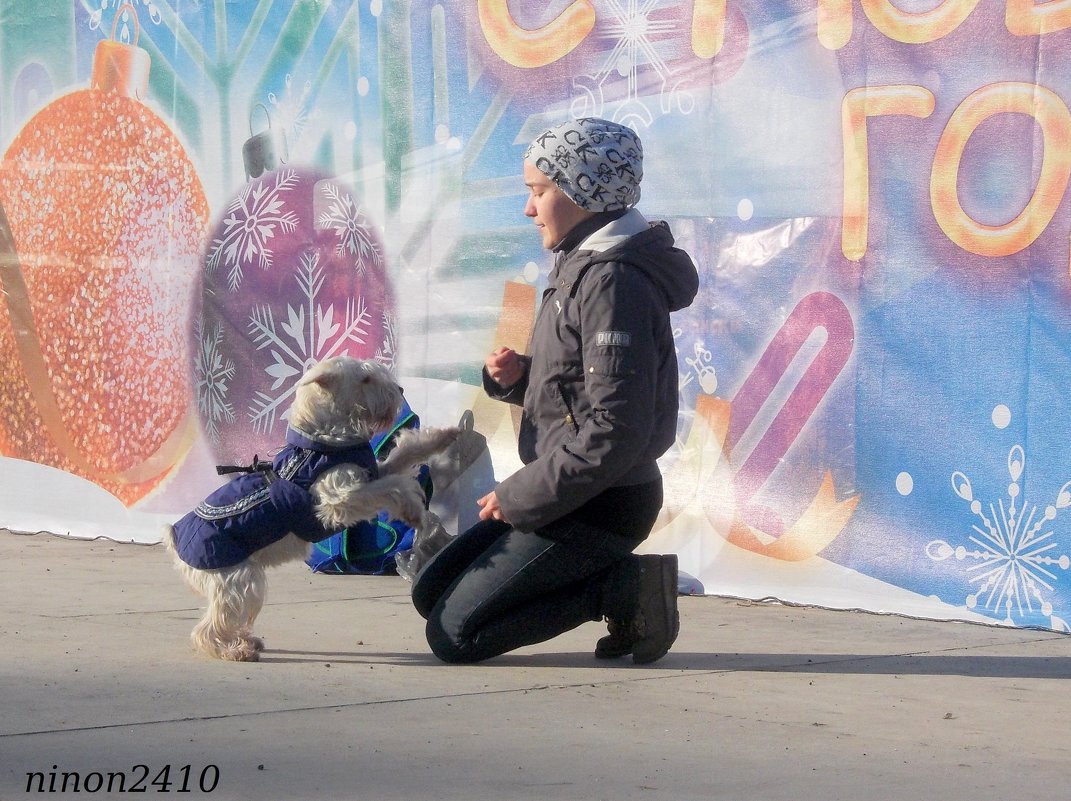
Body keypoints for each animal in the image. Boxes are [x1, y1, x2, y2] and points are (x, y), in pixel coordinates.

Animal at [163, 357, 460, 663]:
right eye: (365, 379)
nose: (400, 390)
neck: (324, 442)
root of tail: (175, 541)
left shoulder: (372, 472)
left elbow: (404, 455)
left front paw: (443, 437)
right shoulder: (340, 498)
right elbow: (393, 486)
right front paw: (413, 508)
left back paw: (246, 642)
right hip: (238, 580)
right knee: (209, 627)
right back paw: (232, 650)